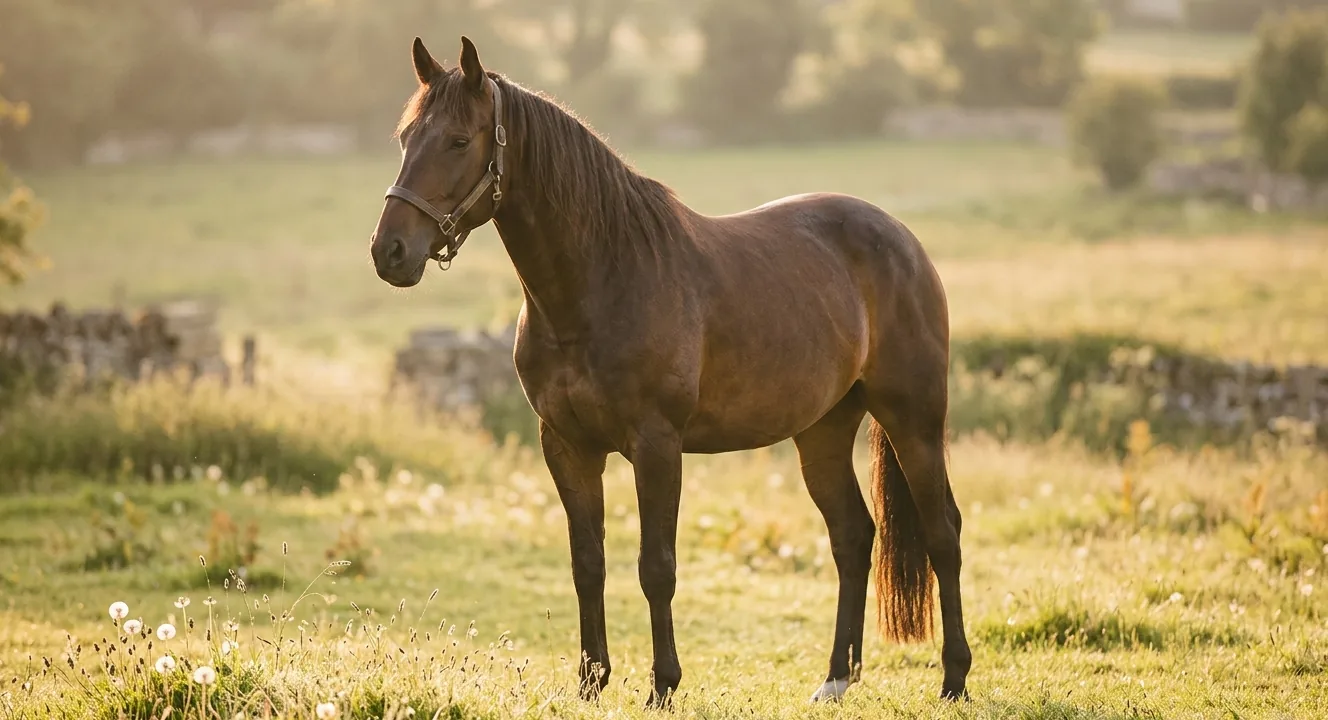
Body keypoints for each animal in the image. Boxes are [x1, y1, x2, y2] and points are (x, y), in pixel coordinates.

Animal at [369, 36, 971, 708]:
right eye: (405, 137)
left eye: (457, 140)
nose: (390, 251)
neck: (601, 282)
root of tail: (903, 240)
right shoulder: (567, 446)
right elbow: (588, 564)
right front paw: (591, 682)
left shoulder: (656, 446)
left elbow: (656, 567)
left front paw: (662, 685)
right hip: (823, 431)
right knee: (852, 535)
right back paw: (836, 678)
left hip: (914, 420)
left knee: (943, 533)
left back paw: (953, 679)